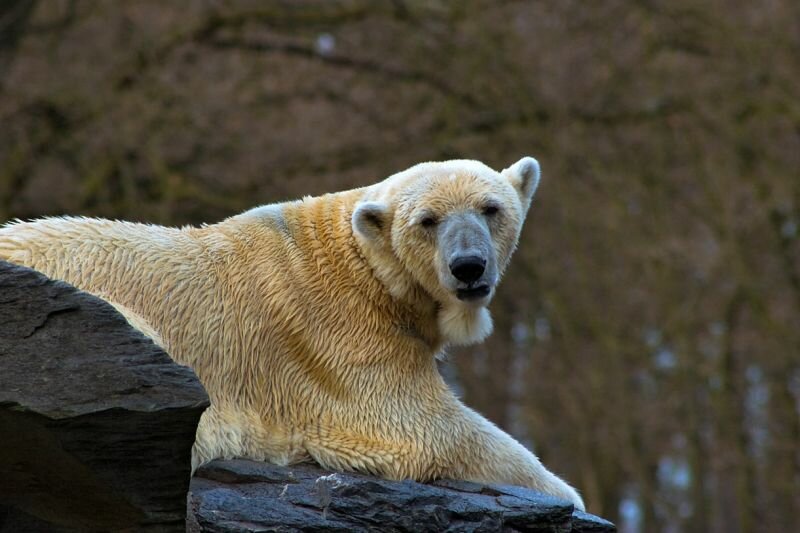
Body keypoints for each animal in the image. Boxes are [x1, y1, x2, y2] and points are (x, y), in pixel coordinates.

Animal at [1, 156, 588, 510]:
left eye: (491, 209)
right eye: (427, 220)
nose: (468, 267)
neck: (358, 262)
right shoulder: (338, 338)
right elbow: (427, 428)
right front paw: (568, 496)